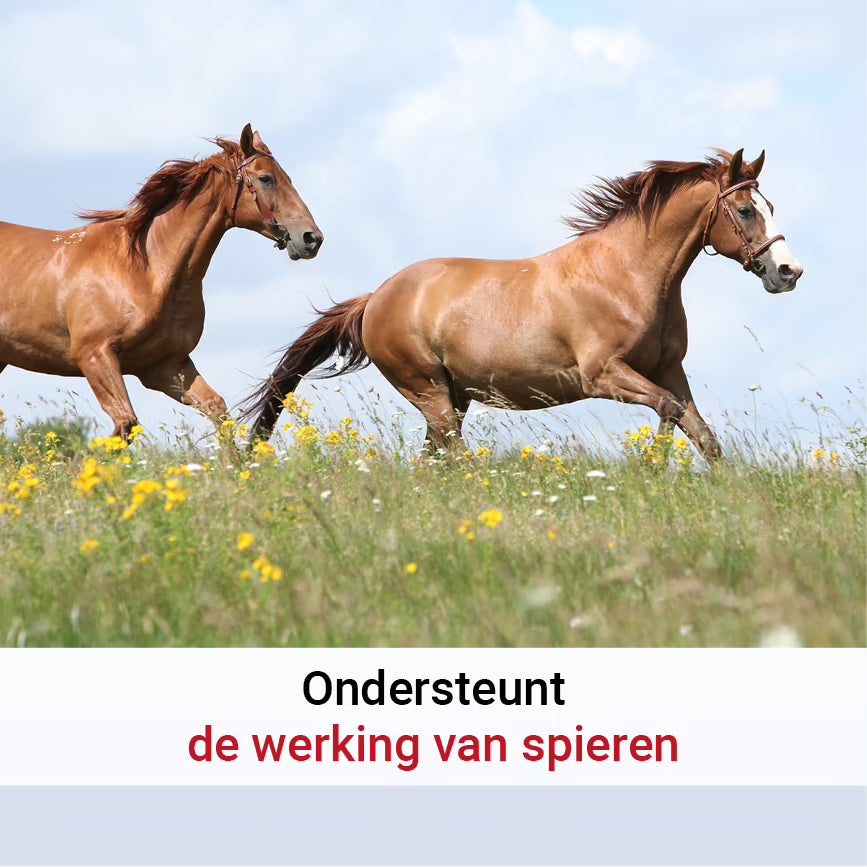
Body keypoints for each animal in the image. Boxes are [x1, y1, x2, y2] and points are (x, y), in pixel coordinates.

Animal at [0, 124, 323, 438]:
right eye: (266, 178)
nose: (312, 238)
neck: (147, 272)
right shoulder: (94, 356)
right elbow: (125, 423)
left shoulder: (164, 366)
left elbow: (217, 409)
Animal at [244, 148, 802, 461]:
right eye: (747, 210)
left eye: (772, 206)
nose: (788, 271)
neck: (628, 276)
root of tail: (375, 298)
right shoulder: (604, 375)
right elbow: (666, 413)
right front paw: (651, 471)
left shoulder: (668, 370)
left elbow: (701, 434)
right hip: (429, 391)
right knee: (453, 456)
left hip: (452, 396)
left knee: (434, 460)